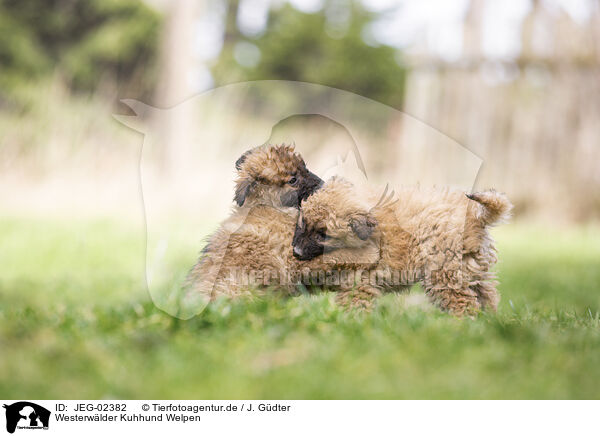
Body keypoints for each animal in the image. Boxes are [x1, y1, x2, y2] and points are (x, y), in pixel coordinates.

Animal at [290, 175, 510, 316]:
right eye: (302, 222)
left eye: (323, 235)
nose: (296, 253)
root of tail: (475, 216)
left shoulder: (360, 283)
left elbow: (354, 305)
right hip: (472, 268)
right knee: (487, 297)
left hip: (445, 274)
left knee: (464, 305)